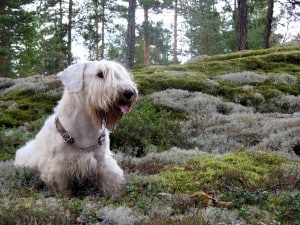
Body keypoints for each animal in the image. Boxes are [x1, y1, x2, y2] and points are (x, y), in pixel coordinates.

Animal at [14, 59, 138, 195]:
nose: (129, 92)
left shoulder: (102, 160)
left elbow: (109, 180)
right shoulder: (58, 167)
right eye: (100, 74)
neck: (86, 127)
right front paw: (65, 195)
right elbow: (63, 187)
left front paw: (114, 194)